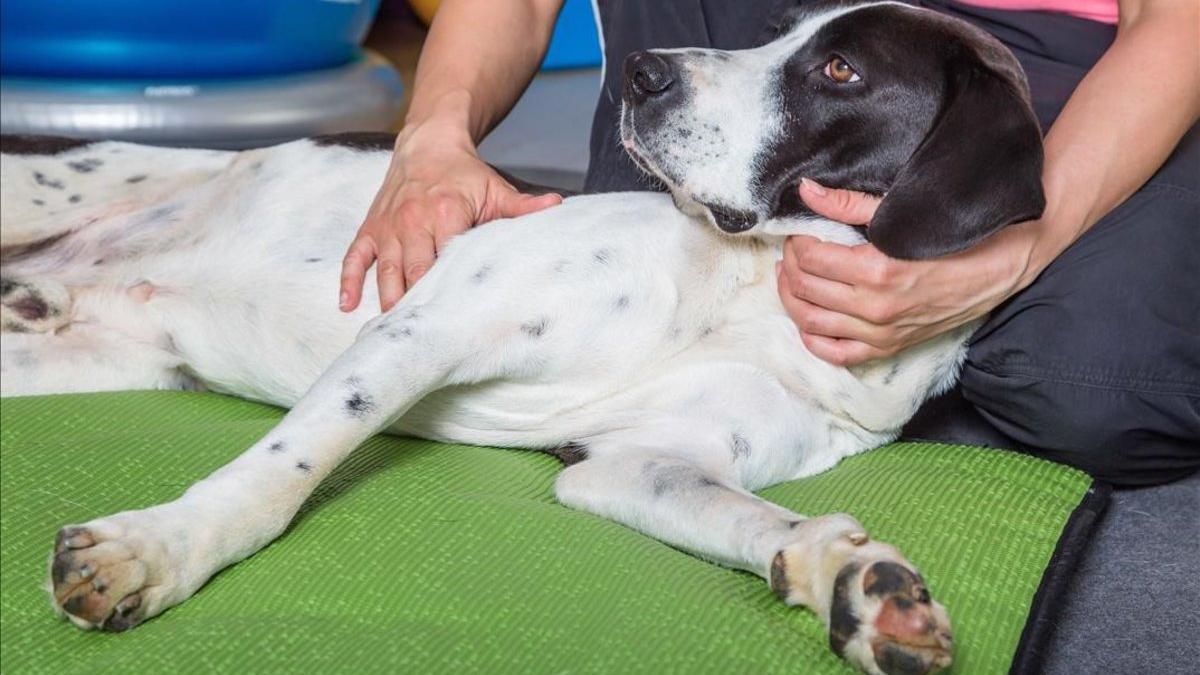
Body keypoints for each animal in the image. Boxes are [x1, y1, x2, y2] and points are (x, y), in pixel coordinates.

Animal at [2, 2, 1041, 667]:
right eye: (778, 34)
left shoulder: (636, 464)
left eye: (839, 69)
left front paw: (852, 580)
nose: (643, 72)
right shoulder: (427, 325)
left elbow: (767, 523)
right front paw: (161, 549)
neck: (753, 292)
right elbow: (279, 474)